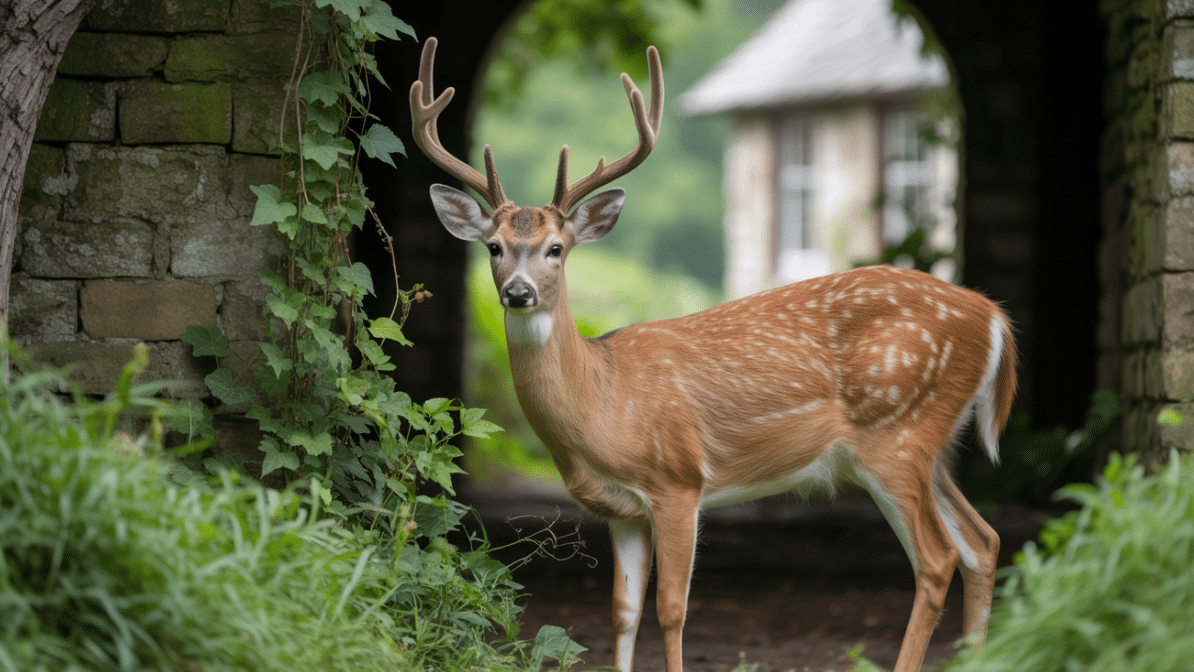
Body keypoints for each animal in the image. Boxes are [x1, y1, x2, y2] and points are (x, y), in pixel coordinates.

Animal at [410, 37, 1017, 672]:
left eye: (556, 248)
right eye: (494, 247)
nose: (517, 292)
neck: (605, 401)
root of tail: (993, 316)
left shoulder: (678, 481)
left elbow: (671, 608)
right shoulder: (620, 510)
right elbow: (622, 612)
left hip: (895, 434)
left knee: (938, 558)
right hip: (929, 444)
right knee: (983, 541)